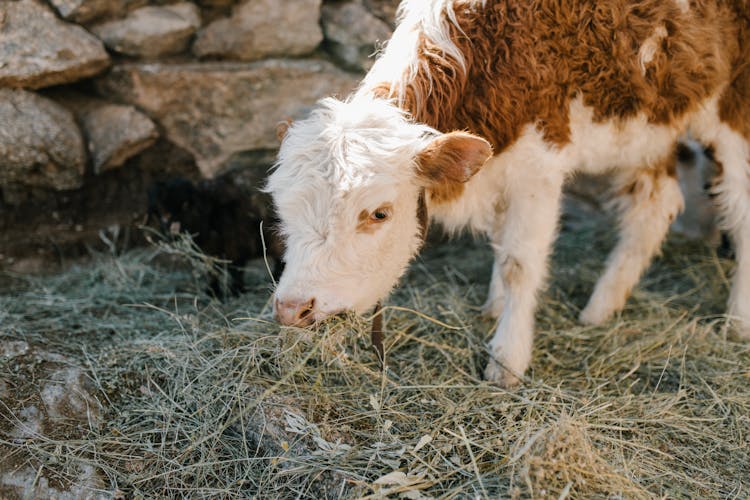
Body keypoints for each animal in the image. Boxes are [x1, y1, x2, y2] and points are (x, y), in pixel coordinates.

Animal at [268, 0, 750, 386]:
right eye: (283, 213)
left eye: (379, 214)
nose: (292, 308)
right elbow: (501, 244)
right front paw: (494, 307)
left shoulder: (538, 165)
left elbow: (520, 262)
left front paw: (507, 360)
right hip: (650, 122)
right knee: (657, 205)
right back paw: (600, 308)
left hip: (733, 107)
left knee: (740, 209)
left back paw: (737, 321)